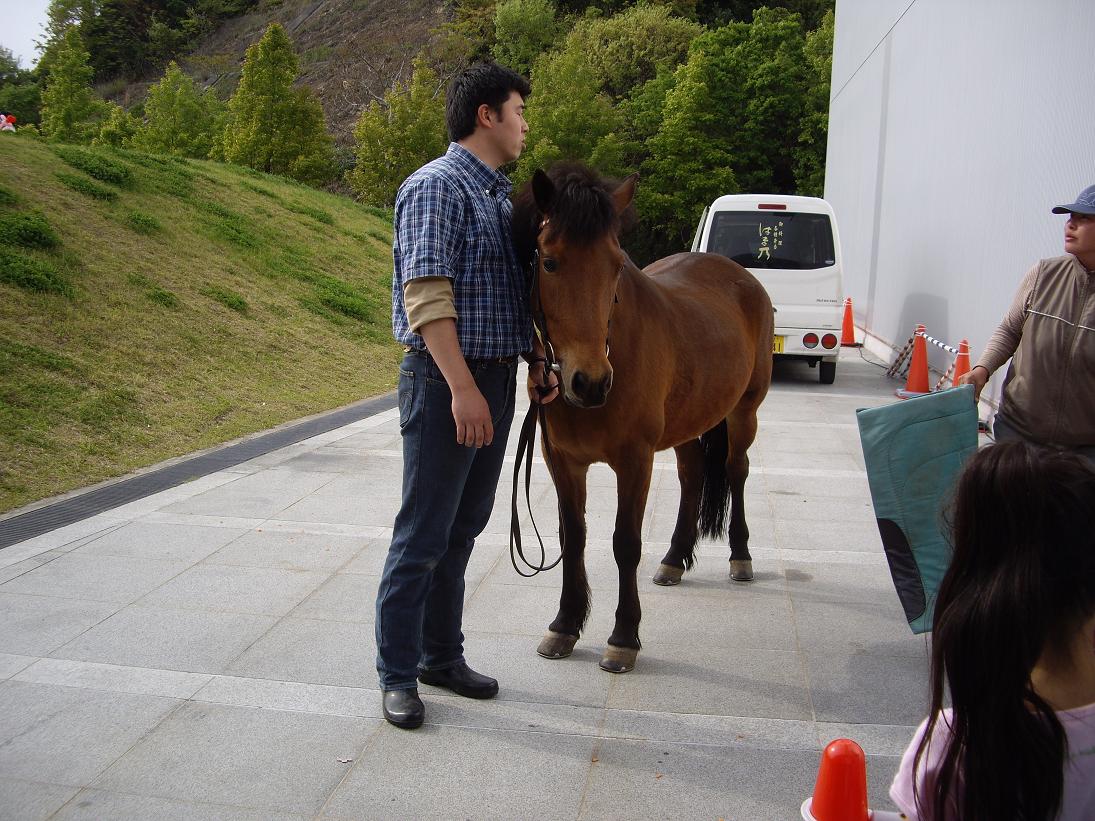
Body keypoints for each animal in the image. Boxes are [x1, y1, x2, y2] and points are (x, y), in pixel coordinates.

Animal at [511, 163, 774, 673]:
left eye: (617, 264)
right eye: (549, 262)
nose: (589, 382)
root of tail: (742, 277)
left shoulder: (635, 461)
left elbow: (624, 543)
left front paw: (623, 637)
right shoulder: (562, 461)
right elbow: (573, 537)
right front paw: (565, 625)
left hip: (743, 413)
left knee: (736, 470)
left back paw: (741, 556)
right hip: (691, 422)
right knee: (693, 476)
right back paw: (674, 558)